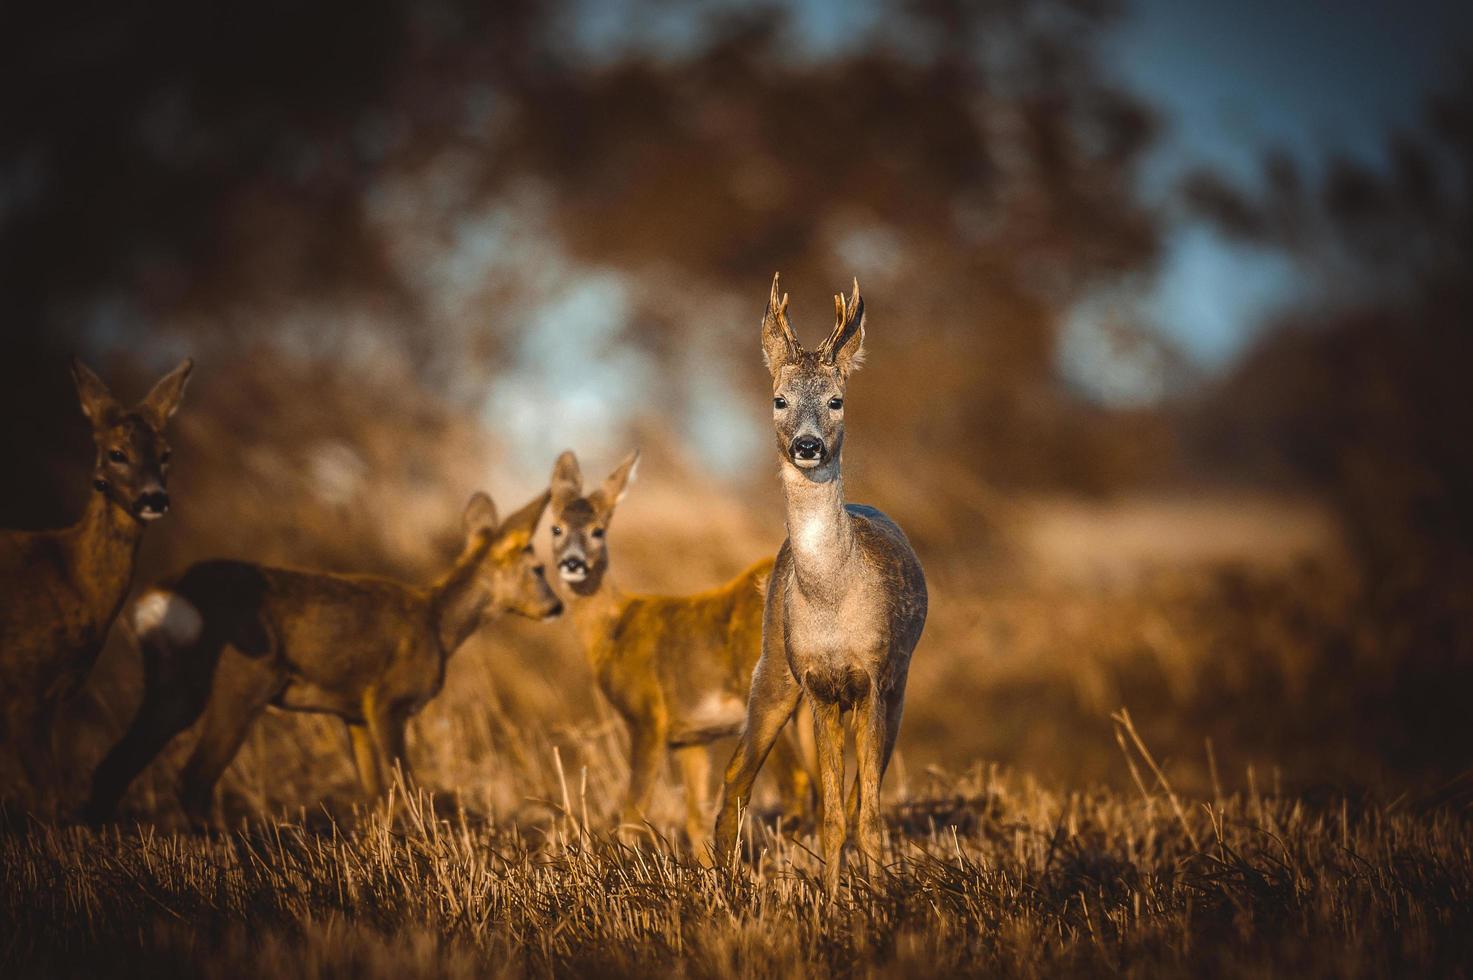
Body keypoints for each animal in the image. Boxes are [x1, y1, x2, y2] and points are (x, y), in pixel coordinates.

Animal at [84, 486, 562, 819]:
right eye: (538, 568)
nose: (556, 606)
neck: (438, 626)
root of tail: (158, 597)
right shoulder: (388, 701)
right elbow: (406, 786)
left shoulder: (355, 714)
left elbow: (377, 795)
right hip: (243, 679)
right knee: (193, 780)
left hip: (172, 683)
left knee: (113, 769)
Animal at [547, 450, 813, 854]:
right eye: (556, 528)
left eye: (598, 530)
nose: (573, 563)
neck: (614, 629)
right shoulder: (692, 737)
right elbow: (694, 821)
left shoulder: (647, 716)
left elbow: (632, 815)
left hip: (765, 693)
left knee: (797, 784)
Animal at [715, 275, 930, 896]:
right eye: (779, 399)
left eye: (837, 400)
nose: (808, 445)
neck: (834, 602)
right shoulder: (817, 685)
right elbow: (832, 813)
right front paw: (833, 900)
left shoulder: (873, 676)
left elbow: (865, 813)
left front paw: (873, 898)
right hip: (772, 661)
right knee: (737, 774)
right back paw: (721, 881)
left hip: (898, 682)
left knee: (862, 793)